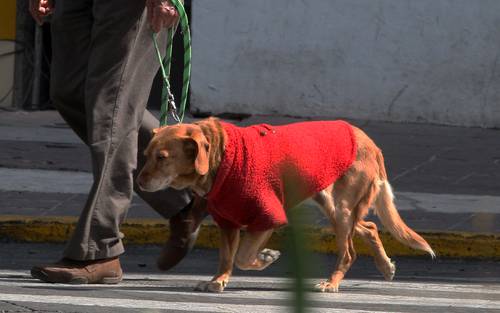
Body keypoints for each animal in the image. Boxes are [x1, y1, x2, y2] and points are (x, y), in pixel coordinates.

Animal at [137, 117, 434, 292]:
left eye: (162, 157)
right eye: (146, 154)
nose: (138, 183)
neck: (222, 157)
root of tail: (369, 142)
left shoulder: (268, 216)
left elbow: (243, 257)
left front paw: (265, 258)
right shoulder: (228, 223)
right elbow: (226, 257)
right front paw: (218, 280)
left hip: (342, 209)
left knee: (349, 251)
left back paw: (332, 283)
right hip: (331, 204)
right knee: (370, 227)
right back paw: (385, 266)